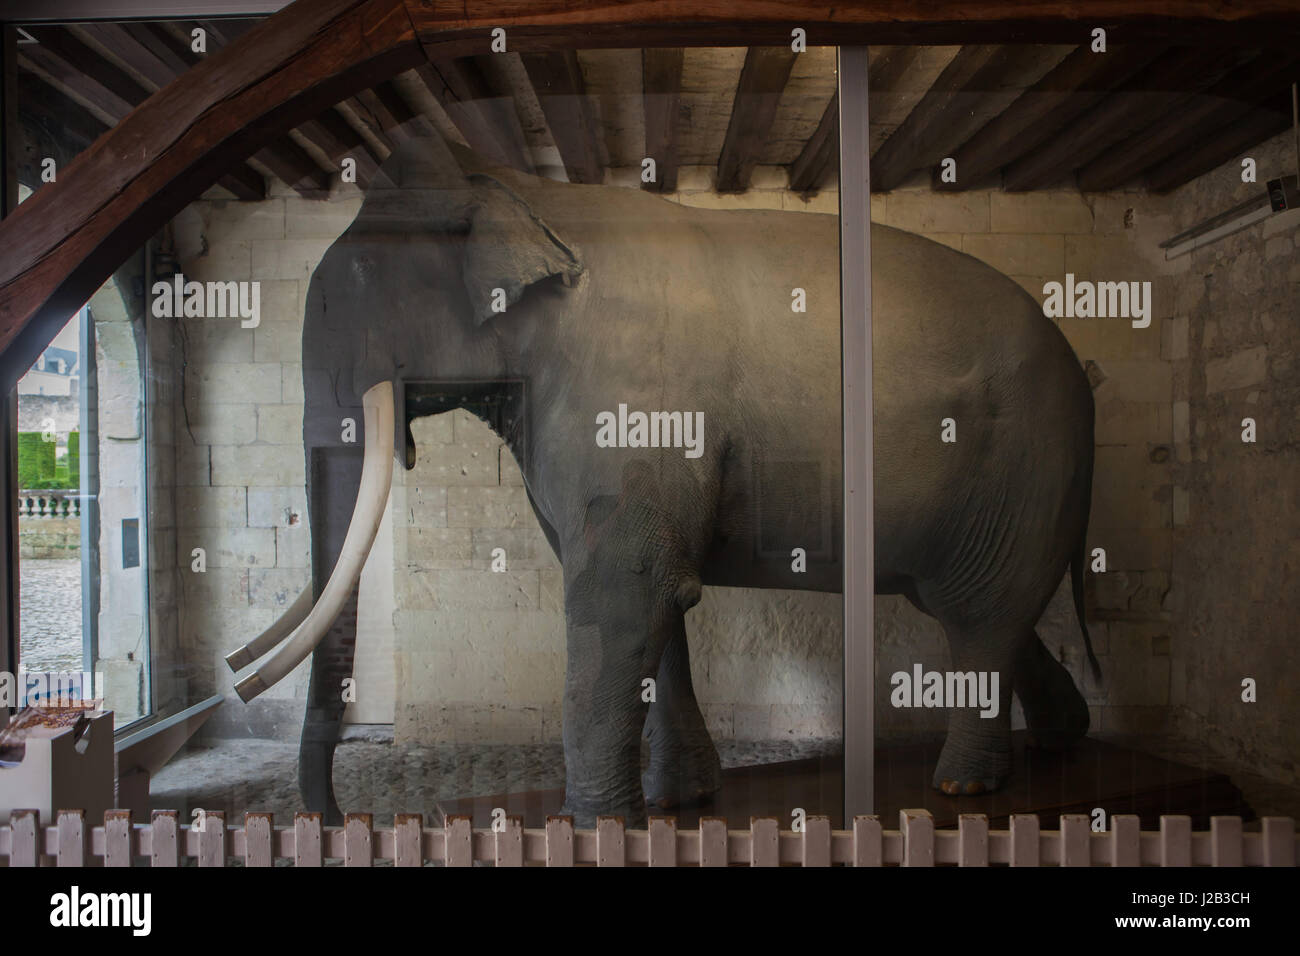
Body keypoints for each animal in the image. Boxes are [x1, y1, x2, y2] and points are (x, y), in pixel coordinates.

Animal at [223, 130, 1097, 827]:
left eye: (353, 290)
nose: (340, 818)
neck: (519, 187)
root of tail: (1081, 370)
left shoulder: (630, 400)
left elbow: (621, 588)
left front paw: (593, 827)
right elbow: (660, 597)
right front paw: (678, 802)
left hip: (1021, 465)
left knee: (979, 612)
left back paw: (962, 788)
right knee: (982, 606)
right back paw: (1062, 740)